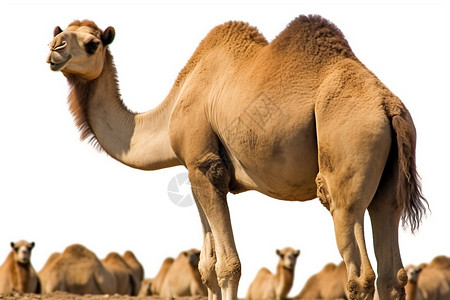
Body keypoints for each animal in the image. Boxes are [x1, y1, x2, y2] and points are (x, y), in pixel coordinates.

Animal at [46, 14, 428, 300]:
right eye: (60, 32)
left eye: (92, 43)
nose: (54, 49)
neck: (173, 109)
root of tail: (388, 106)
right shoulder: (195, 173)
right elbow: (206, 267)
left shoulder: (205, 165)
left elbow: (228, 266)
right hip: (388, 190)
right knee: (392, 271)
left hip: (347, 168)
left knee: (359, 270)